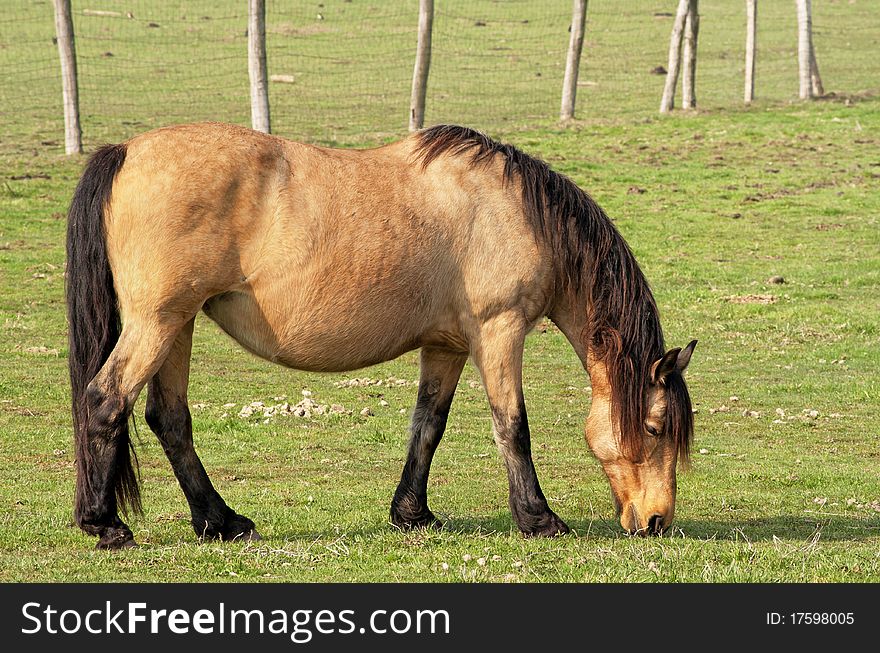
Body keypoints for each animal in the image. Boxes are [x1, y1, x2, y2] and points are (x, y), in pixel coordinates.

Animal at [65, 122, 696, 552]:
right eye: (654, 427)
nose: (657, 521)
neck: (513, 210)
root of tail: (126, 153)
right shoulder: (499, 331)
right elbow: (511, 427)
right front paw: (539, 520)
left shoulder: (448, 345)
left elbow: (428, 425)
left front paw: (412, 513)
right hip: (158, 322)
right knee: (105, 401)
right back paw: (106, 523)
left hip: (180, 323)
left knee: (169, 419)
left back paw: (220, 521)